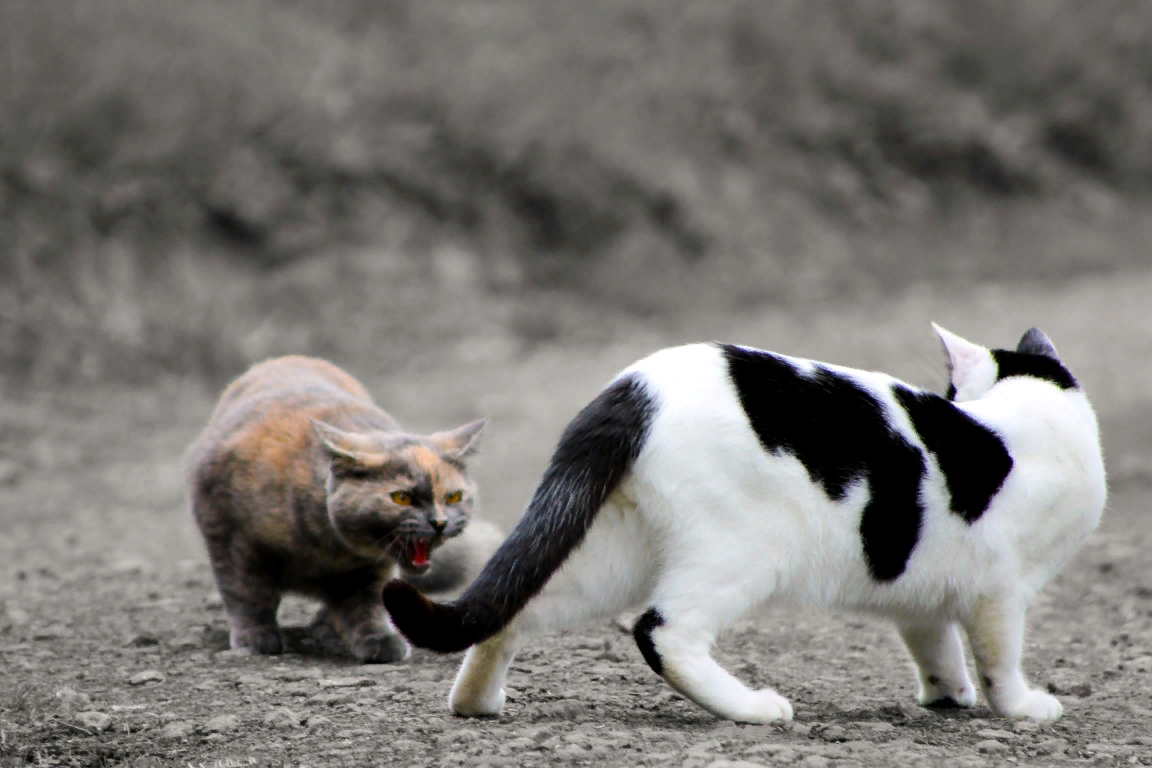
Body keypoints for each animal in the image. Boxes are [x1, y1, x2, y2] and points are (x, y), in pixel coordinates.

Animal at [188, 356, 495, 663]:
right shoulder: (232, 537)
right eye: (402, 498)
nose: (439, 522)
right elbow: (247, 593)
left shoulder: (371, 568)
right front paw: (255, 638)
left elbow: (368, 604)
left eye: (453, 497)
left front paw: (379, 640)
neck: (326, 547)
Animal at [384, 327, 1105, 723]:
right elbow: (998, 657)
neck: (1021, 424)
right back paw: (752, 708)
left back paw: (475, 701)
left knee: (510, 607)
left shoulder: (920, 586)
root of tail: (632, 389)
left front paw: (947, 694)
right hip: (745, 553)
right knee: (661, 631)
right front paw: (1020, 707)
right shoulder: (1001, 591)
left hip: (608, 557)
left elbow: (934, 643)